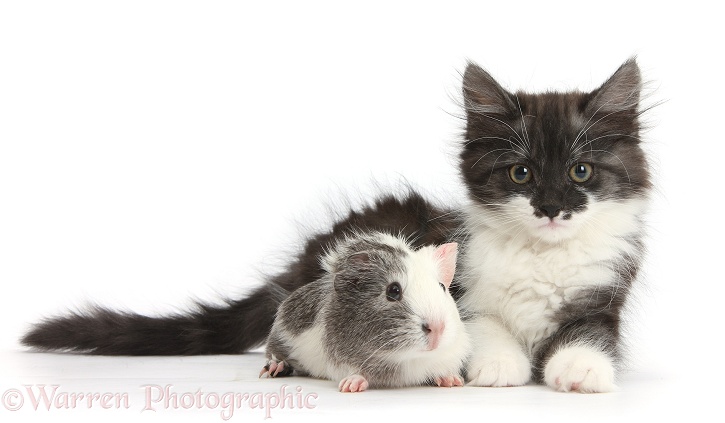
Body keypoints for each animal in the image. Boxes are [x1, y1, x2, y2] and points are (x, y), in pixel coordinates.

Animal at [458, 58, 652, 392]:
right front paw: (499, 363)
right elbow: (482, 323)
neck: (544, 254)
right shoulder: (461, 286)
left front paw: (580, 365)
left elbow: (590, 332)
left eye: (581, 171)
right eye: (520, 173)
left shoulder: (602, 302)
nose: (550, 207)